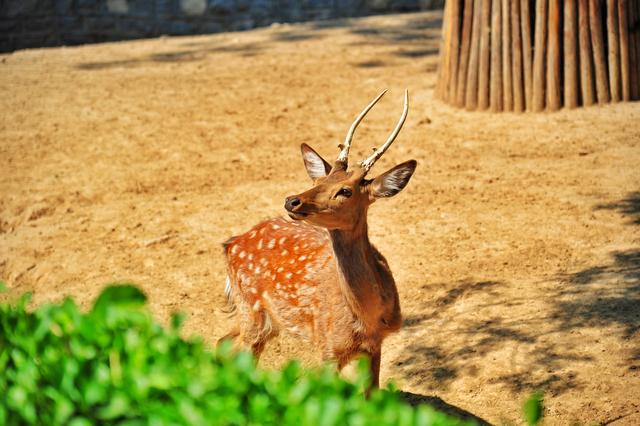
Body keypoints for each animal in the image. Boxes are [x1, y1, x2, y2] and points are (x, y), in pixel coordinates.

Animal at [220, 90, 418, 390]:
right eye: (319, 181)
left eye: (346, 190)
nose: (292, 200)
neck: (366, 319)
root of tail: (231, 243)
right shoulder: (328, 347)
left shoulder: (375, 346)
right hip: (251, 309)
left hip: (262, 320)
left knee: (224, 342)